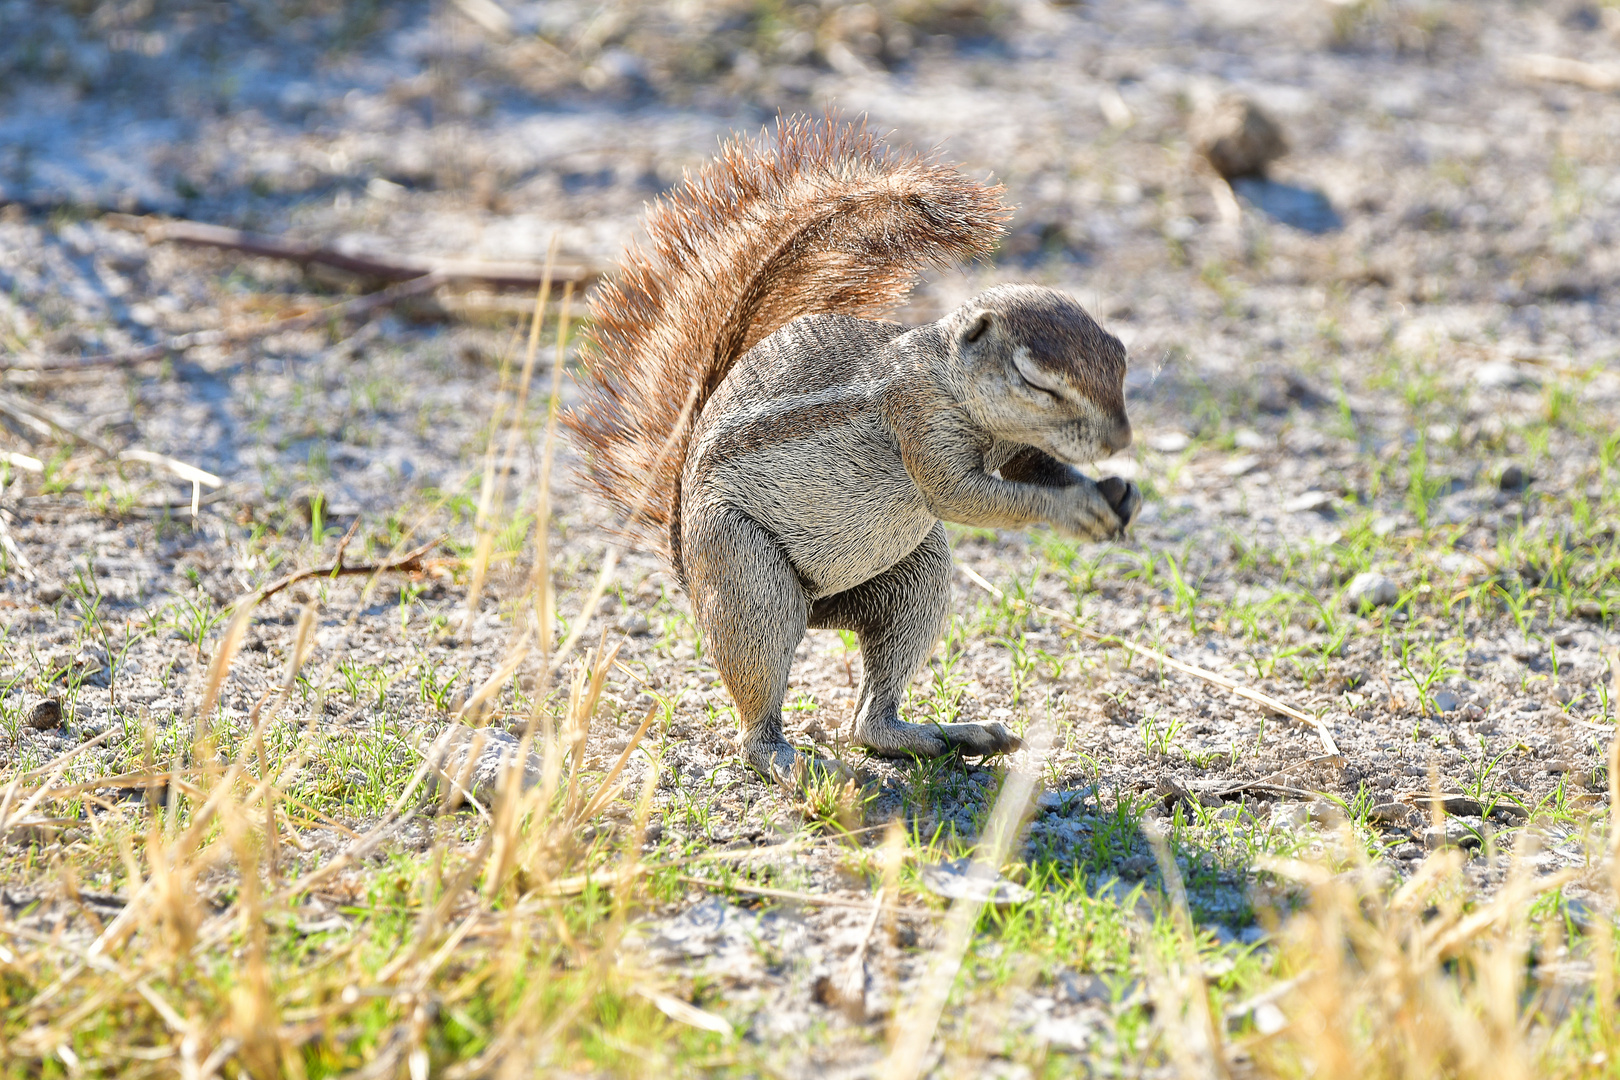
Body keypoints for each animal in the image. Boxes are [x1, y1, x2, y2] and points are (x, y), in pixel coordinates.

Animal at [567, 116, 1140, 786]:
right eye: (1036, 381)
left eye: (1119, 353)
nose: (1120, 440)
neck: (948, 376)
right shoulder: (918, 421)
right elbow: (964, 496)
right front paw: (1075, 510)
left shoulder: (1012, 446)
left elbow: (1035, 467)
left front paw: (1116, 491)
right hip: (747, 577)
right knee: (757, 717)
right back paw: (794, 762)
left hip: (914, 579)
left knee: (870, 721)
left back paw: (946, 735)